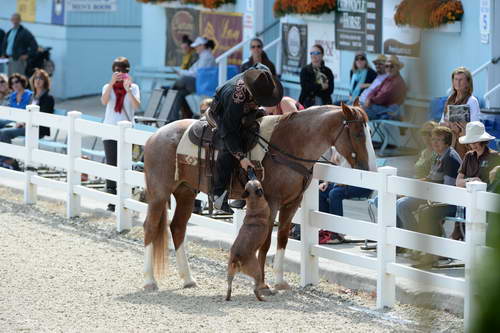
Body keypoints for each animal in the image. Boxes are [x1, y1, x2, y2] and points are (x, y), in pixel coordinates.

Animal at [141, 101, 376, 290]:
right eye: (358, 133)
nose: (370, 168)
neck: (289, 143)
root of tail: (155, 136)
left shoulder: (292, 202)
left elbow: (282, 238)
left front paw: (279, 281)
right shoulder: (272, 201)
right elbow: (265, 241)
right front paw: (262, 283)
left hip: (186, 192)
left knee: (178, 228)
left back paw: (188, 279)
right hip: (159, 193)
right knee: (151, 227)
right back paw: (150, 281)